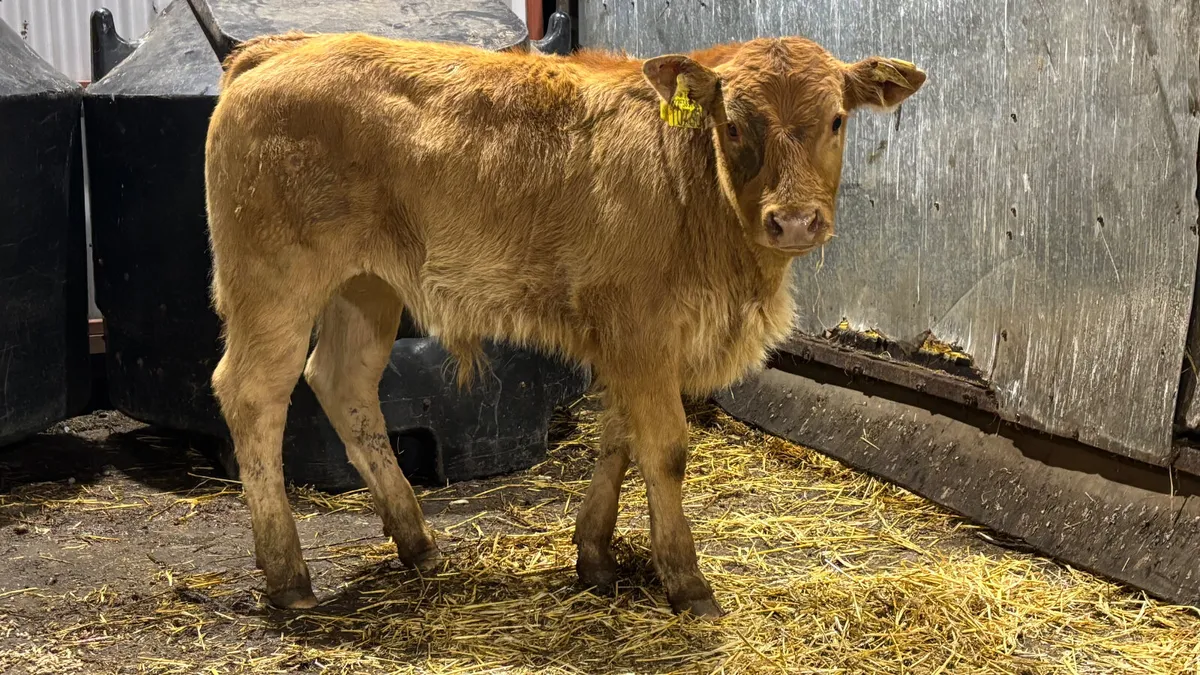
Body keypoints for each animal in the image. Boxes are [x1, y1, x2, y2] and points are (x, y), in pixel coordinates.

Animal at [197, 26, 925, 617]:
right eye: (736, 124)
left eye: (836, 119)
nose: (795, 220)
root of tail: (277, 49)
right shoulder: (640, 327)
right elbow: (665, 447)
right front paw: (685, 579)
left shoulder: (630, 338)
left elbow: (620, 439)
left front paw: (595, 555)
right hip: (274, 281)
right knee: (252, 394)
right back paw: (288, 575)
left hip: (365, 286)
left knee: (343, 384)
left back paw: (417, 541)